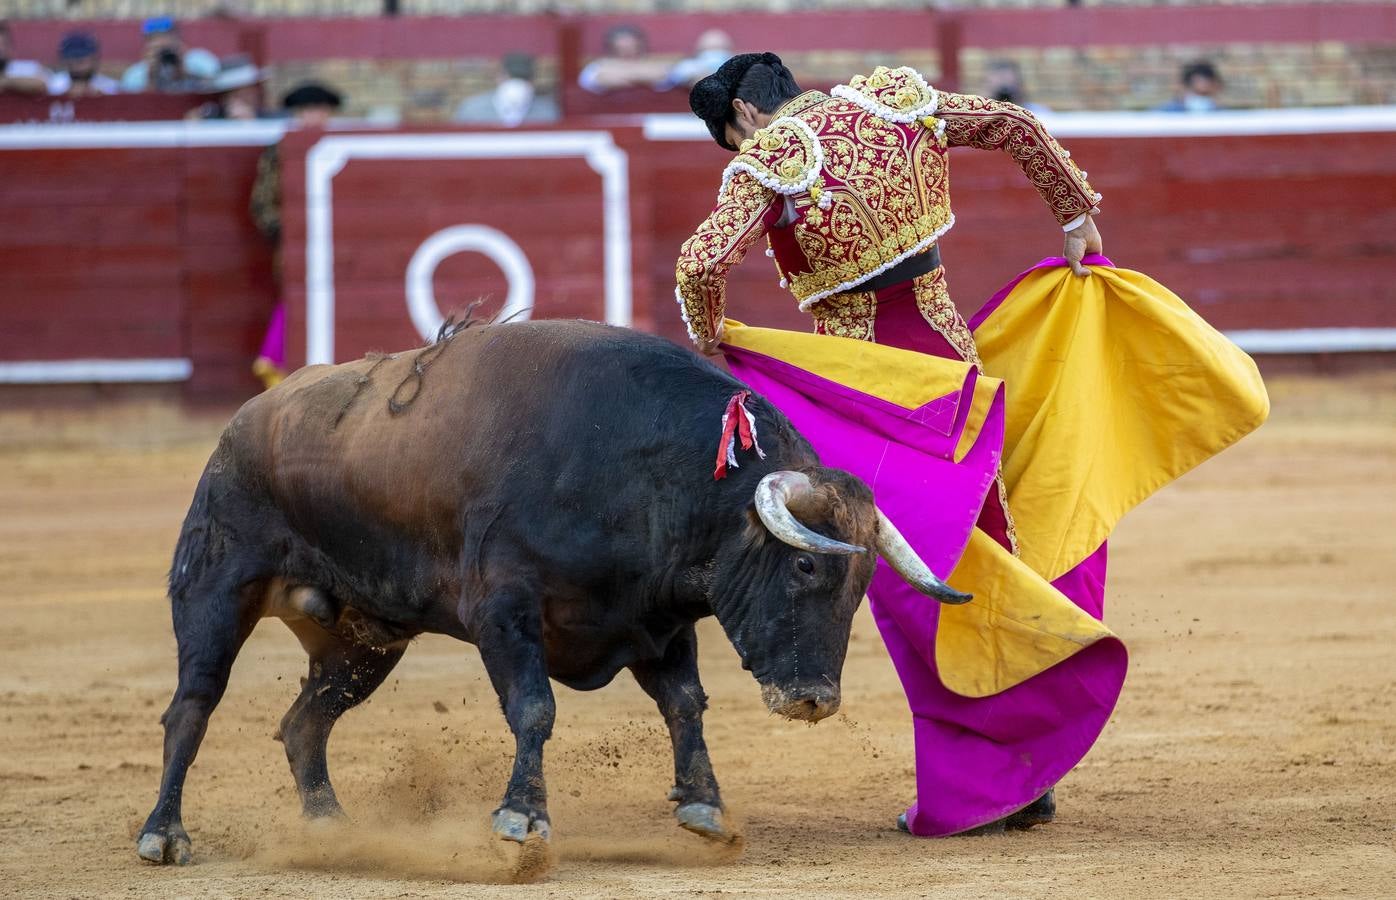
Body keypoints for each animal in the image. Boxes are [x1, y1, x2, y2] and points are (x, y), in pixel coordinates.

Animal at [138, 318, 971, 865]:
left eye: (861, 587)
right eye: (805, 568)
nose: (813, 701)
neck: (645, 473)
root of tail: (247, 420)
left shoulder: (658, 622)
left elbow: (685, 704)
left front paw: (703, 808)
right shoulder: (503, 612)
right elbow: (535, 708)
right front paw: (521, 822)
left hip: (362, 640)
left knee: (304, 723)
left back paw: (330, 829)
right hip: (216, 586)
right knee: (192, 706)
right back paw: (164, 834)